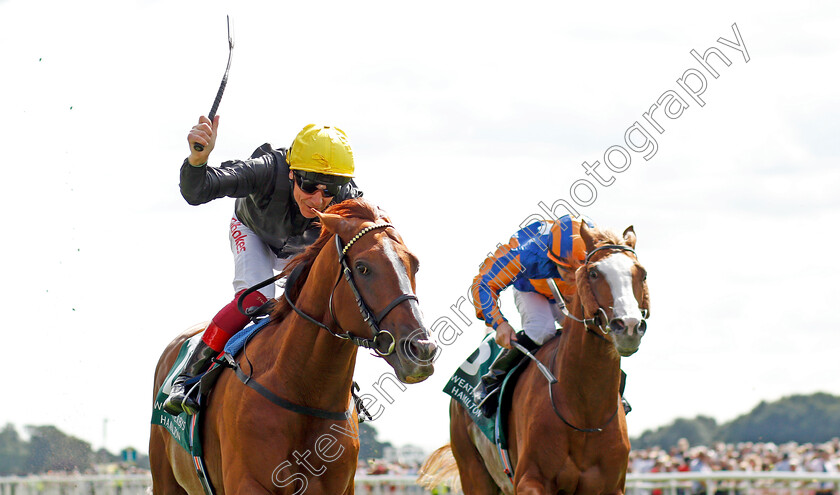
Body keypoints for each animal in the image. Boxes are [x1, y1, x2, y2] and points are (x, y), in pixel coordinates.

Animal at [150, 200, 436, 494]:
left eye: (414, 264)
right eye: (362, 267)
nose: (421, 349)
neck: (302, 389)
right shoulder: (248, 483)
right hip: (164, 478)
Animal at [420, 224, 648, 495]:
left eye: (642, 274)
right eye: (593, 273)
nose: (629, 326)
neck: (584, 414)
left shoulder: (610, 486)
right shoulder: (530, 479)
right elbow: (485, 281)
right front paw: (505, 332)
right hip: (473, 472)